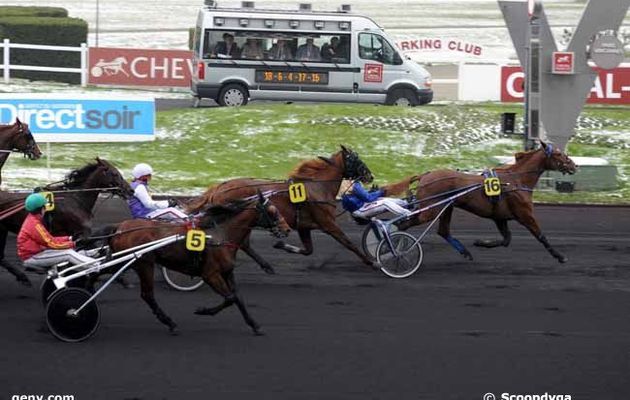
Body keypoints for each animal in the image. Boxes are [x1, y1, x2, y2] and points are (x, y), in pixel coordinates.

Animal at [0, 158, 133, 286]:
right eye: (115, 173)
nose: (130, 190)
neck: (75, 199)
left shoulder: (73, 234)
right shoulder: (81, 233)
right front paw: (118, 274)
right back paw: (23, 277)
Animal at [110, 192, 292, 336]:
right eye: (272, 211)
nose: (287, 229)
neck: (220, 235)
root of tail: (121, 227)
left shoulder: (227, 272)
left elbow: (238, 297)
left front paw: (254, 325)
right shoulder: (210, 275)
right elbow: (230, 298)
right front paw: (203, 311)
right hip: (144, 264)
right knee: (147, 295)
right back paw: (170, 323)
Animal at [185, 145, 378, 274]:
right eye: (356, 159)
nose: (370, 176)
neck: (317, 187)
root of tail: (219, 187)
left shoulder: (304, 226)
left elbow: (308, 250)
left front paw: (281, 245)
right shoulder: (328, 224)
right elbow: (349, 243)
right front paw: (371, 261)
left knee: (243, 243)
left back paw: (265, 265)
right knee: (241, 243)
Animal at [400, 142, 576, 264]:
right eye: (558, 154)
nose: (574, 165)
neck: (517, 180)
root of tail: (424, 176)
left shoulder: (500, 217)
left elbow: (506, 240)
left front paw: (481, 243)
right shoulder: (525, 214)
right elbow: (541, 236)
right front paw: (560, 256)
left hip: (446, 208)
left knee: (442, 231)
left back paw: (465, 252)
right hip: (431, 210)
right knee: (405, 223)